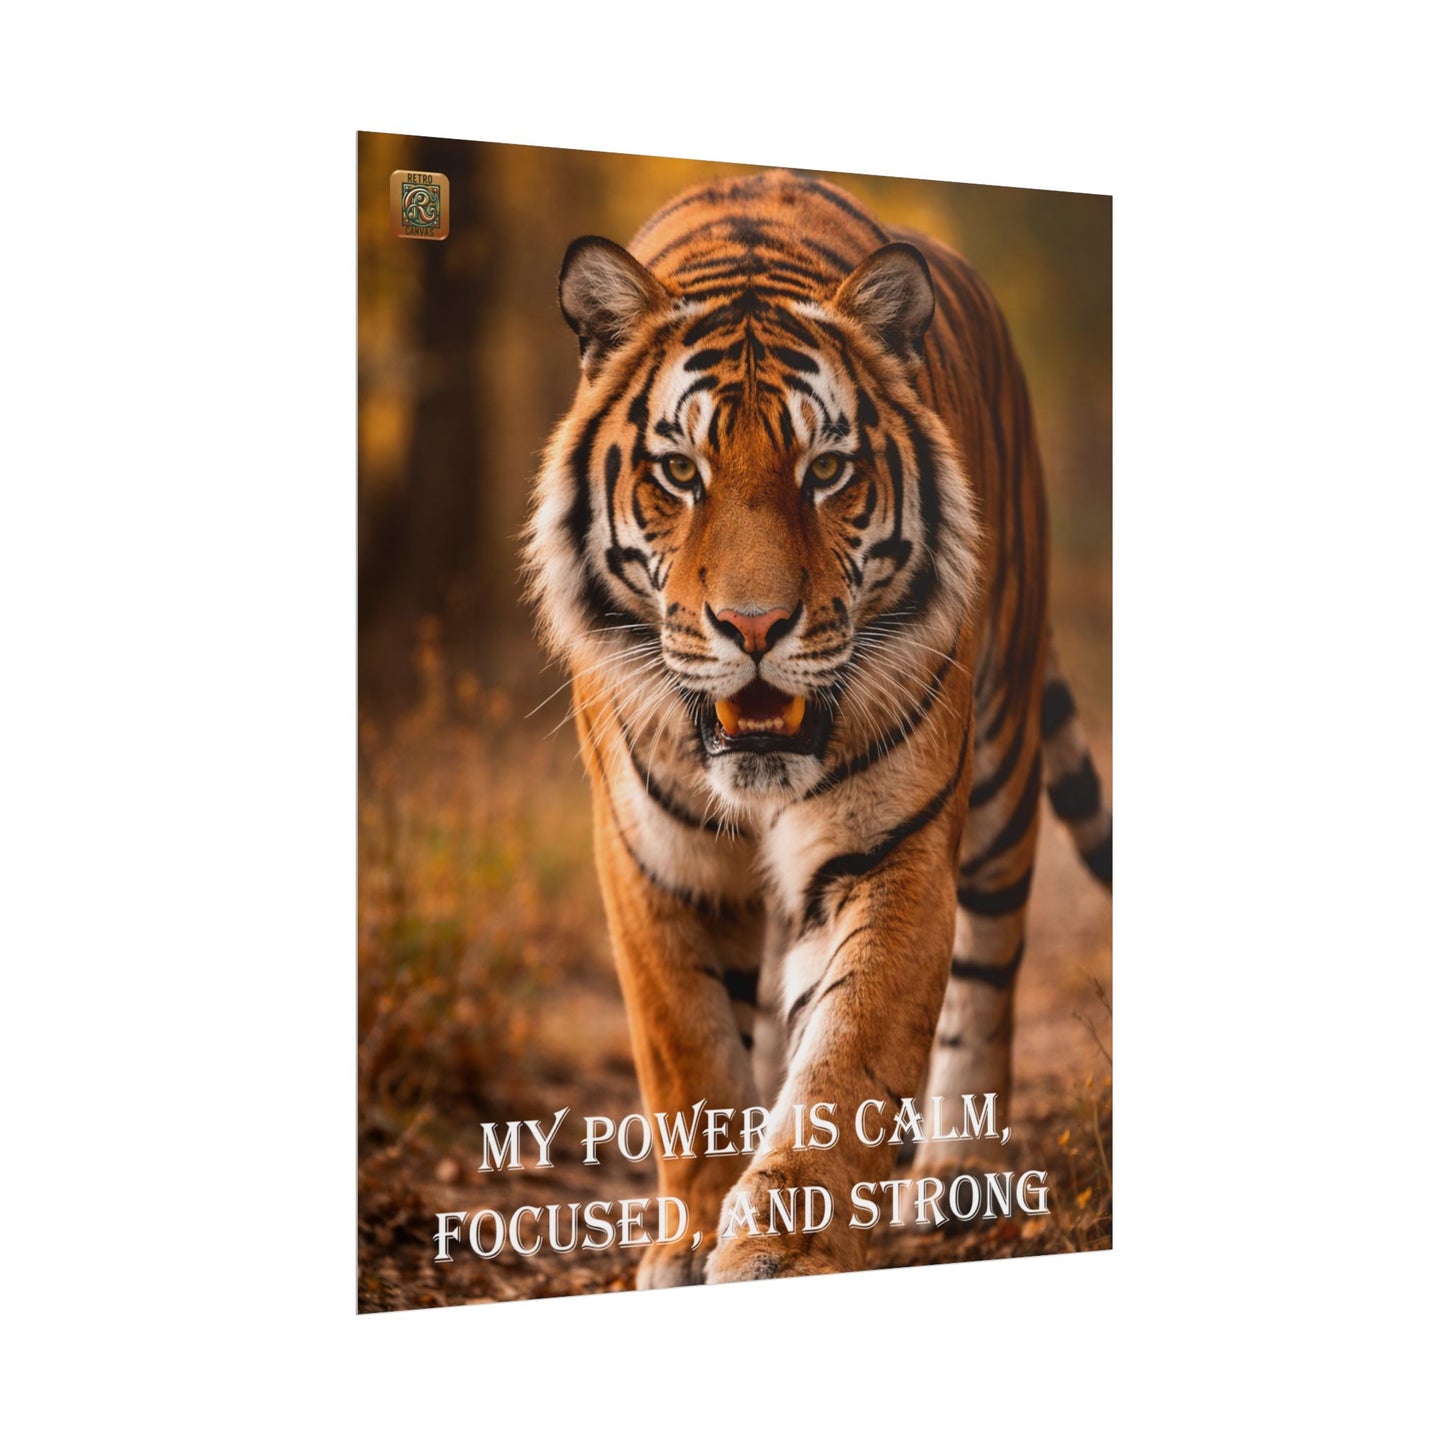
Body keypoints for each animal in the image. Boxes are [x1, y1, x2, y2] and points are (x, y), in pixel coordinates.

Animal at [524, 169, 1111, 1287]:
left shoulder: (889, 846)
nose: (753, 627)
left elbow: (847, 1054)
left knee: (987, 970)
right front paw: (694, 1234)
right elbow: (689, 1053)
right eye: (680, 473)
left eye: (826, 470)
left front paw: (781, 1249)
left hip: (1001, 768)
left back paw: (957, 1172)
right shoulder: (651, 859)